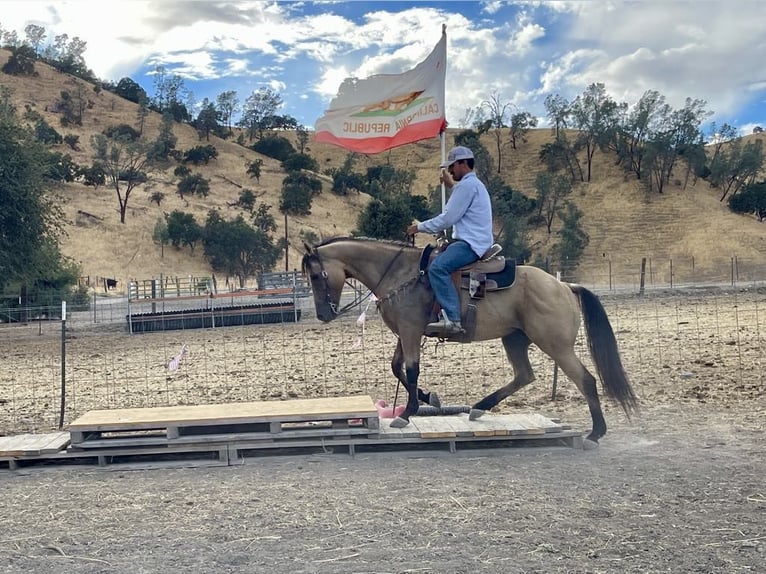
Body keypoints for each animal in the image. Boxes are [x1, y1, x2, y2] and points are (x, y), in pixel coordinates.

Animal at [304, 236, 640, 448]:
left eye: (315, 276)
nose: (323, 314)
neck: (400, 274)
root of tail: (565, 285)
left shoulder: (411, 331)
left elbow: (410, 371)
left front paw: (409, 412)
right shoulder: (405, 333)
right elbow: (397, 368)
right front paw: (429, 399)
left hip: (556, 345)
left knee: (586, 380)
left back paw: (595, 433)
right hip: (514, 339)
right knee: (524, 375)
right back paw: (478, 408)